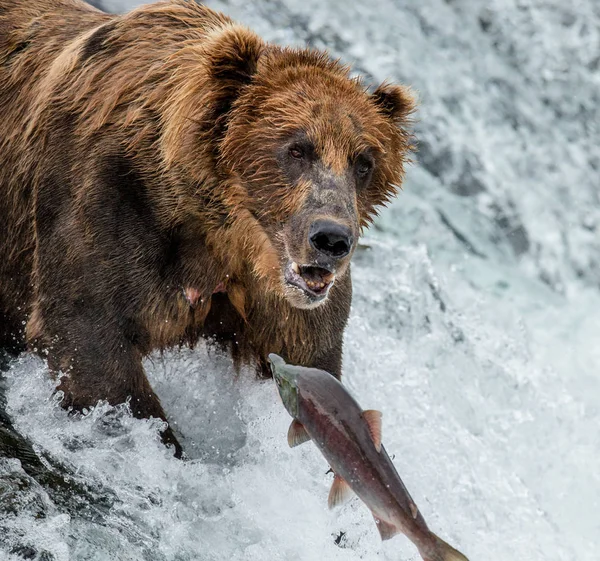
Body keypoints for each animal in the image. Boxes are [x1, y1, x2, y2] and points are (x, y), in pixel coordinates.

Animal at [0, 0, 412, 456]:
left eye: (364, 161)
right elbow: (88, 340)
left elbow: (308, 357)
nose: (331, 239)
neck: (221, 234)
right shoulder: (110, 202)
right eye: (297, 148)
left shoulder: (275, 299)